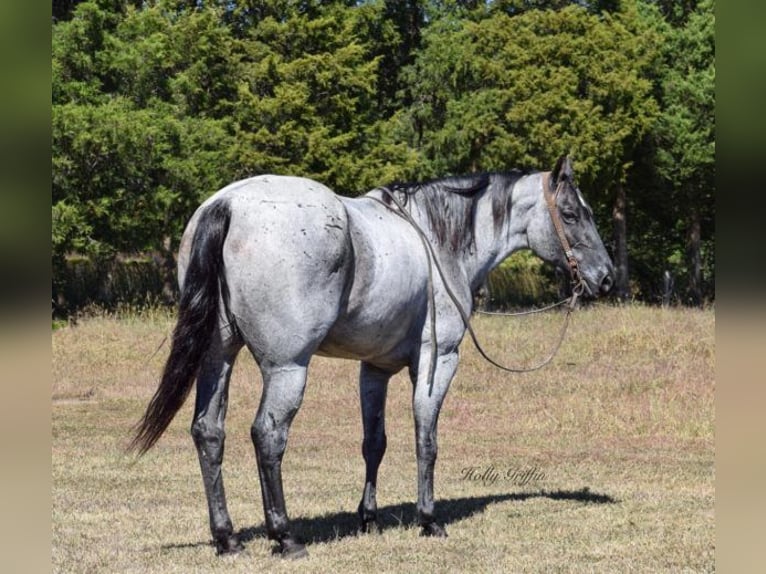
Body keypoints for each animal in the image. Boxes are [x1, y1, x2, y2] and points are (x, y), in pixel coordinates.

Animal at [129, 156, 616, 560]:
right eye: (571, 215)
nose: (606, 278)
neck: (438, 241)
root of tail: (227, 204)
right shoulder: (439, 359)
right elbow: (426, 439)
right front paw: (428, 519)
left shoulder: (375, 369)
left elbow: (374, 443)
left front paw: (368, 519)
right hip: (287, 368)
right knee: (268, 435)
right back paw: (285, 537)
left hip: (218, 356)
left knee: (209, 433)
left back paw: (227, 539)